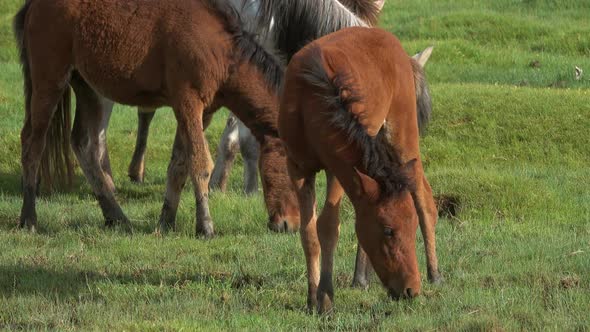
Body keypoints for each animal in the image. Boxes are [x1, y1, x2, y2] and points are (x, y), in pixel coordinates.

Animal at [13, 0, 300, 236]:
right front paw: (205, 226)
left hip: (87, 87)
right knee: (32, 143)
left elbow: (179, 164)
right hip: (50, 81)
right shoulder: (187, 103)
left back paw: (116, 216)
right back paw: (29, 219)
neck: (219, 50)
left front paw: (166, 221)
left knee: (84, 145)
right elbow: (200, 163)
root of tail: (32, 5)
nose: (291, 225)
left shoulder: (203, 112)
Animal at [282, 26, 444, 314]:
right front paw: (312, 297)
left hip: (402, 135)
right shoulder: (298, 168)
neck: (308, 101)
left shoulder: (337, 169)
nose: (411, 290)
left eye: (411, 226)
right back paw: (361, 278)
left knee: (423, 196)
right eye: (388, 231)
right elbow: (309, 232)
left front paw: (326, 297)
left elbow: (328, 226)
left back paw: (435, 273)